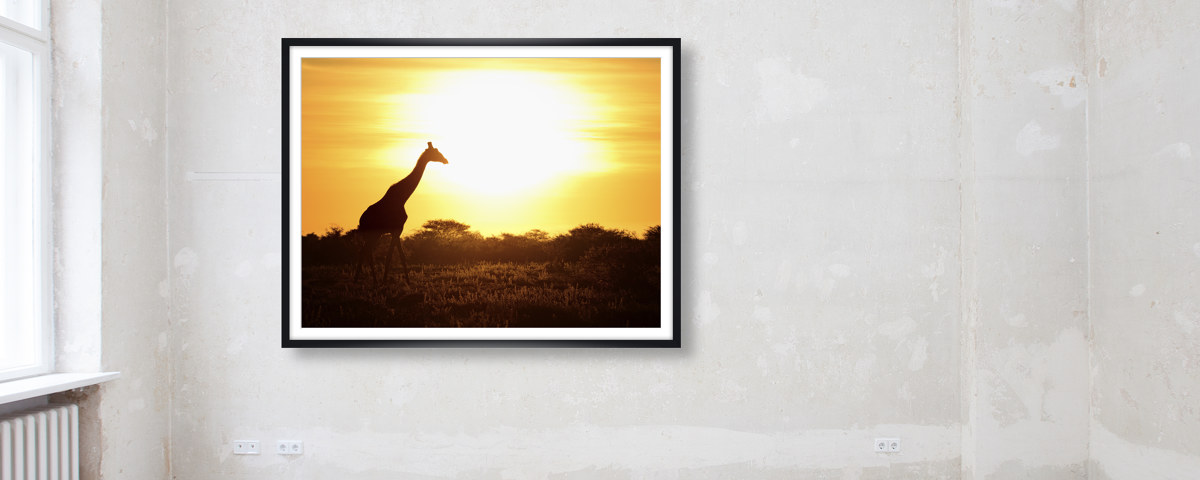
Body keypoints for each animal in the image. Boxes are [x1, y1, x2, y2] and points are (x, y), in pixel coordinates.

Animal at [354, 142, 448, 284]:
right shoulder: (398, 229)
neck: (402, 198)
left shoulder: (397, 230)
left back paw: (362, 280)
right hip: (373, 233)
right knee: (366, 252)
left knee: (365, 251)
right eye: (436, 152)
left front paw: (408, 282)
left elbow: (401, 256)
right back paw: (370, 281)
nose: (445, 160)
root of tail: (361, 221)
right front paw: (385, 282)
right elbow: (390, 256)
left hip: (374, 234)